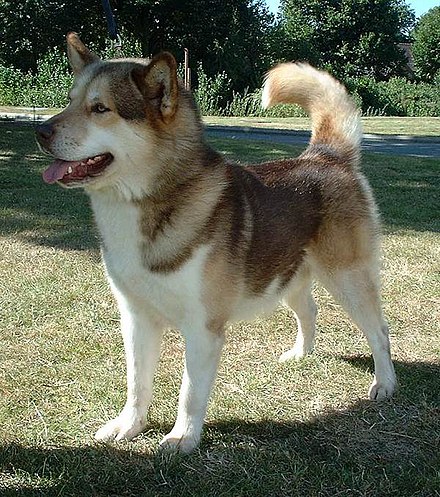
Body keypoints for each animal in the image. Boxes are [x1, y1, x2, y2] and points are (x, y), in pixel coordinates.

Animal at [36, 33, 398, 454]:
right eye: (69, 99)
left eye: (99, 108)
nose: (40, 132)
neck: (149, 202)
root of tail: (325, 156)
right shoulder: (135, 318)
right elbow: (137, 384)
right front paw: (128, 425)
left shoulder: (202, 328)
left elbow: (190, 393)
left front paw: (182, 437)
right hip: (286, 277)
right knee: (310, 310)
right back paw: (300, 354)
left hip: (348, 279)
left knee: (379, 332)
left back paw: (385, 383)